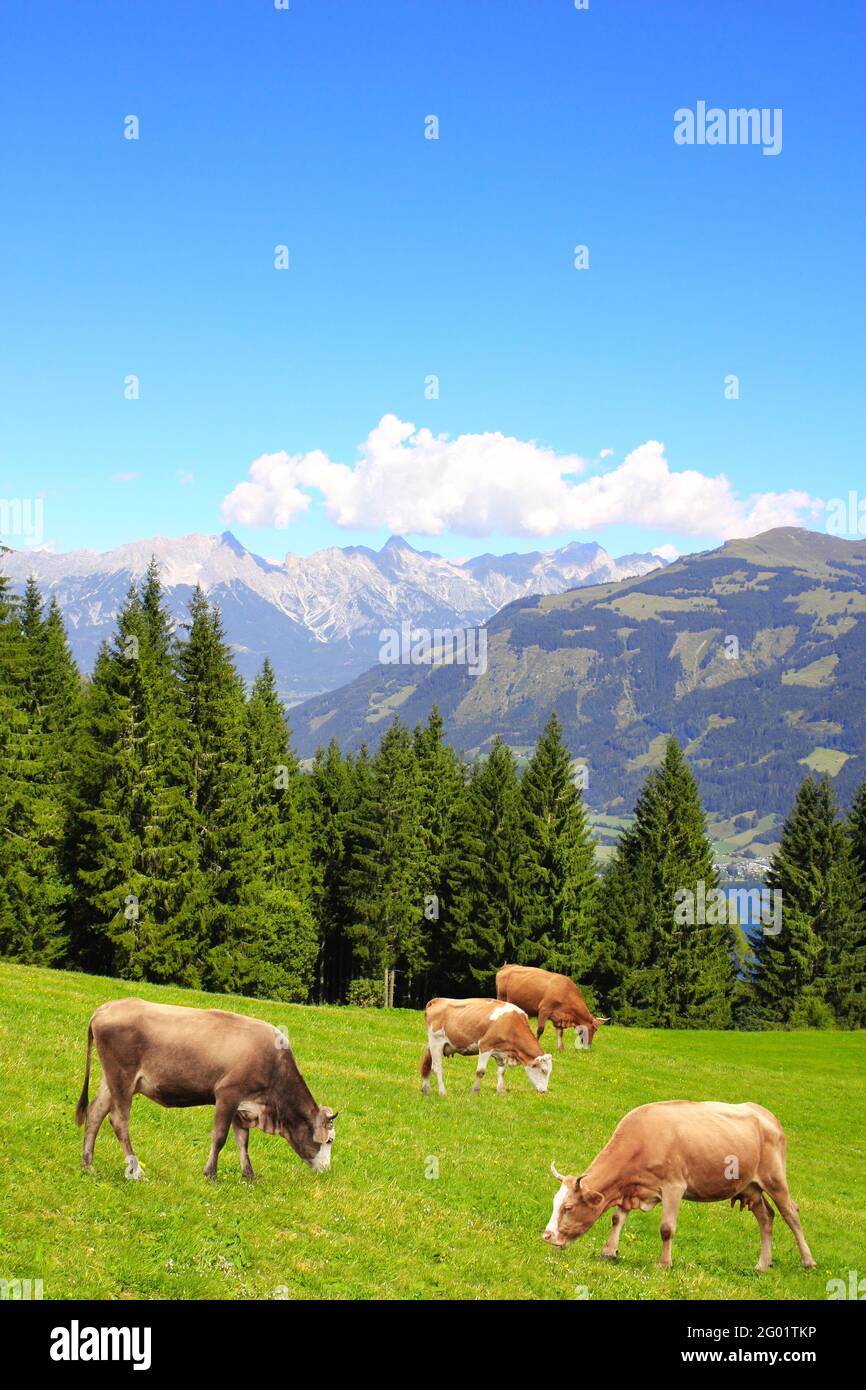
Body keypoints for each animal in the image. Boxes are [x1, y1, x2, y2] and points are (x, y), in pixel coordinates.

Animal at [75, 998, 337, 1181]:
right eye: (329, 1140)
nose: (326, 1169)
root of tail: (104, 1008)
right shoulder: (228, 1094)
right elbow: (219, 1137)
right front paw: (210, 1173)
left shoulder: (243, 1106)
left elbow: (243, 1141)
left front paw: (249, 1175)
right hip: (122, 1077)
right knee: (119, 1120)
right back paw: (136, 1170)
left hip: (110, 1079)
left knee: (95, 1113)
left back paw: (88, 1165)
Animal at [420, 997, 553, 1096]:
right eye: (543, 1070)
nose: (544, 1091)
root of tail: (439, 1000)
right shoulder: (485, 1046)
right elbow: (481, 1071)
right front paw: (475, 1091)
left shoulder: (502, 1052)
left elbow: (501, 1071)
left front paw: (501, 1091)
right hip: (436, 1042)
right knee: (436, 1067)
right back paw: (442, 1092)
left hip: (433, 1045)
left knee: (427, 1065)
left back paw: (426, 1090)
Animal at [543, 1100, 816, 1272]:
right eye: (555, 1203)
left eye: (568, 1207)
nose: (547, 1236)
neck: (643, 1138)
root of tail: (765, 1113)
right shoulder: (631, 1188)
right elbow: (617, 1218)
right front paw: (609, 1252)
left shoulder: (674, 1186)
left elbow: (666, 1228)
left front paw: (664, 1264)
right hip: (750, 1186)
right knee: (766, 1217)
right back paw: (762, 1265)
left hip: (774, 1178)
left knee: (791, 1214)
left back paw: (808, 1261)